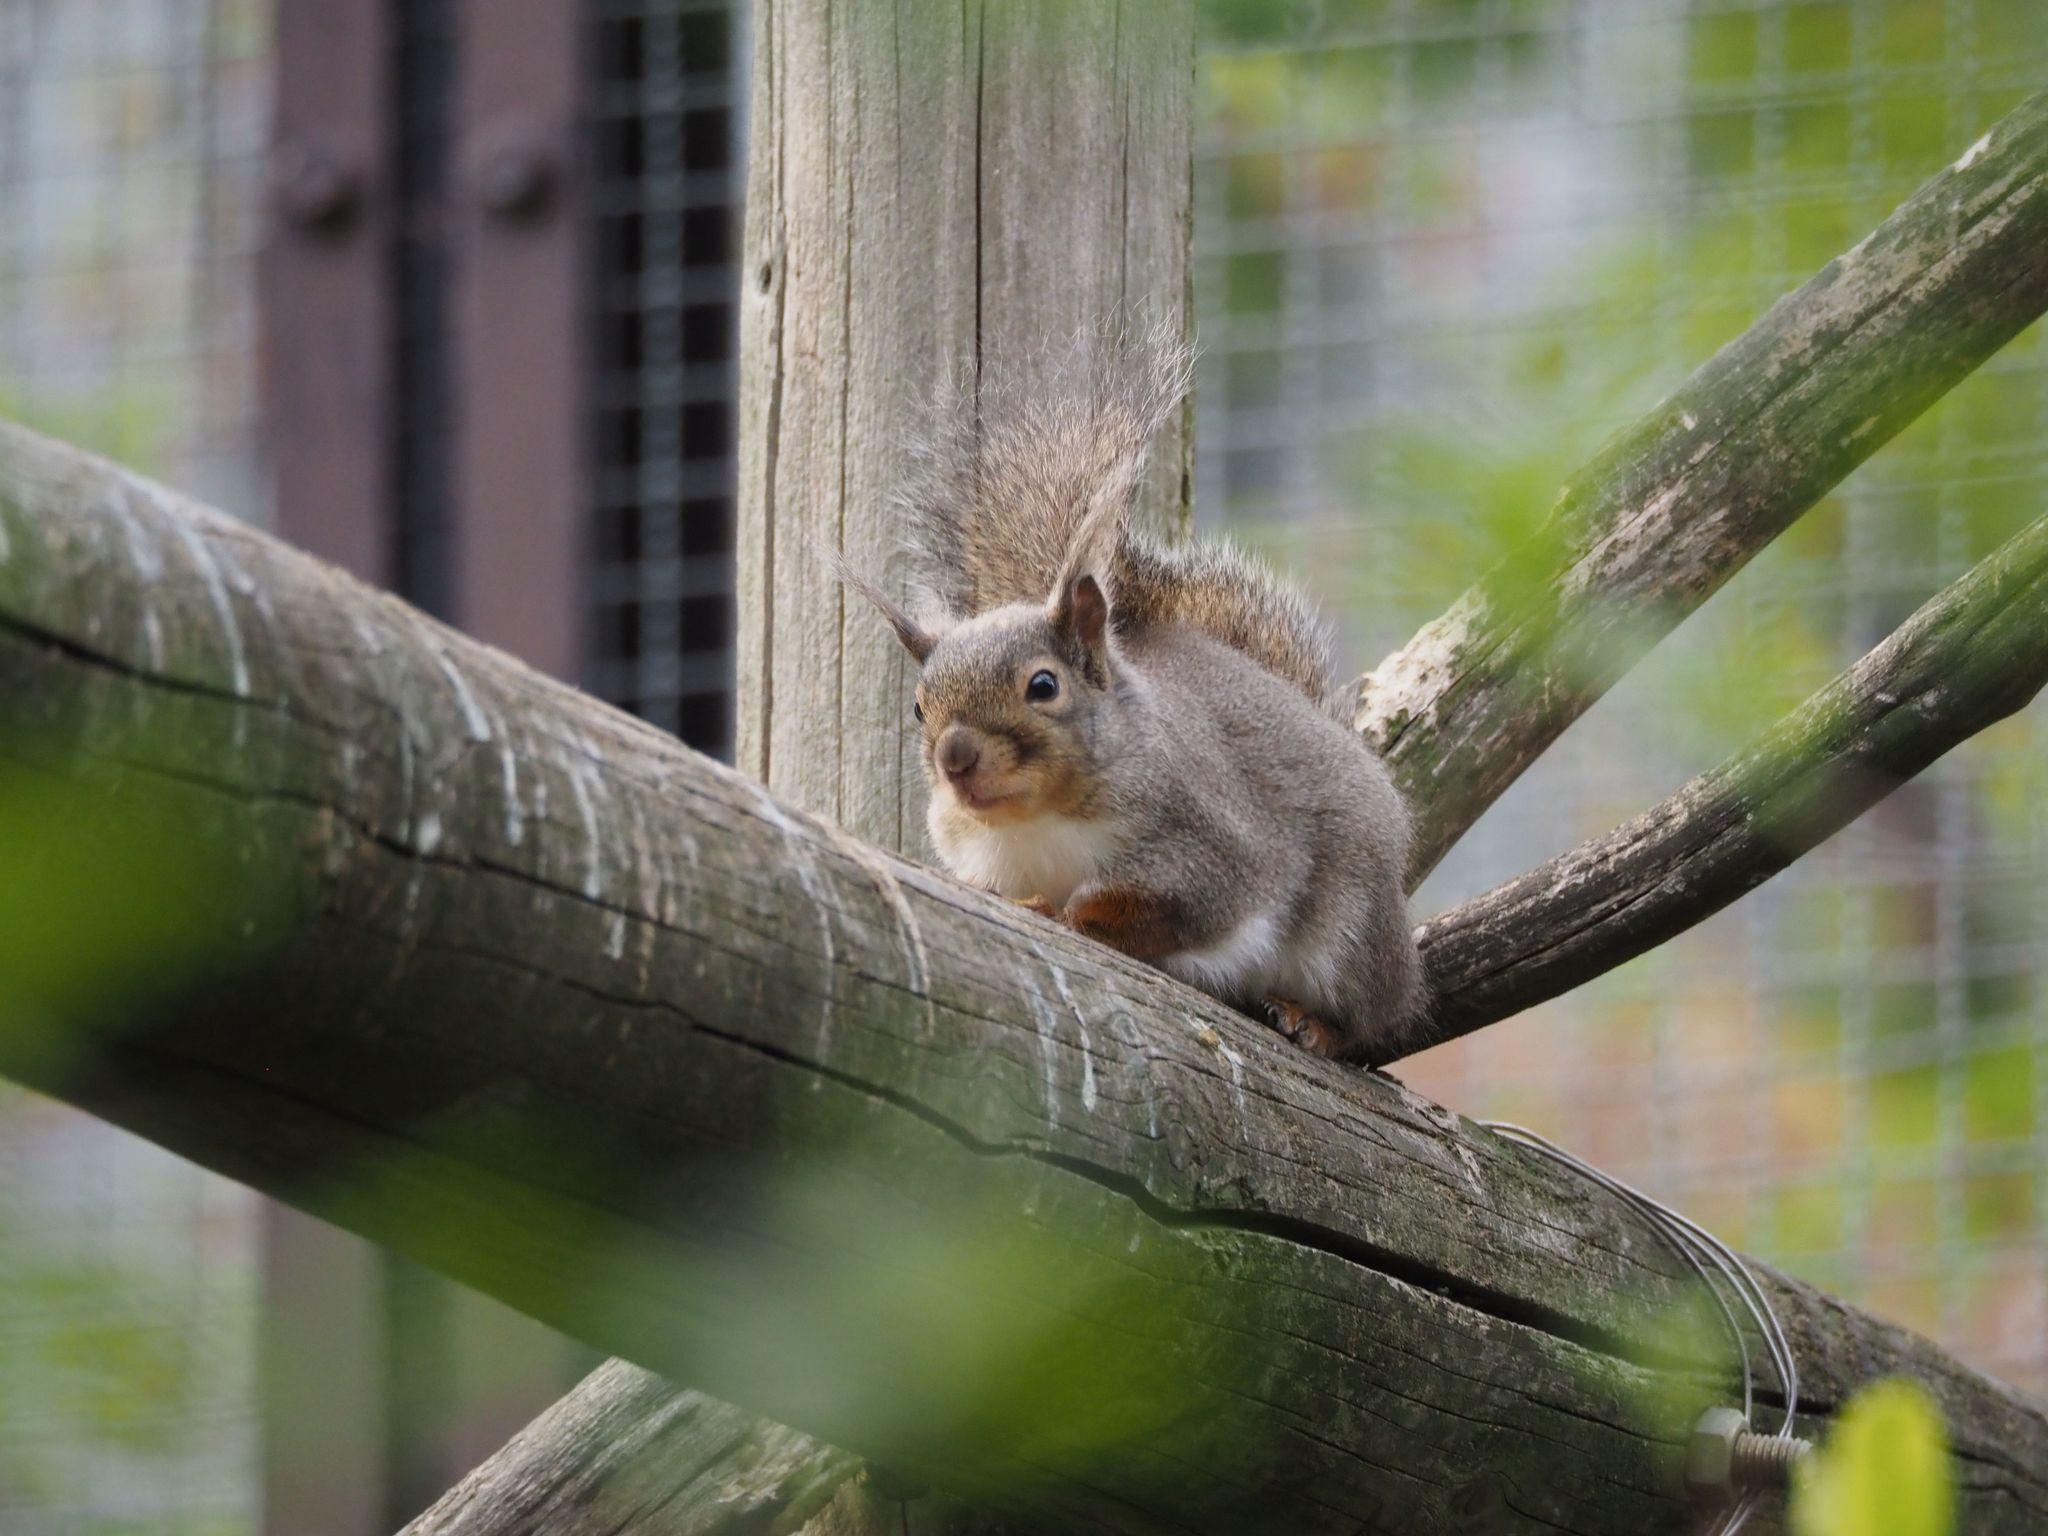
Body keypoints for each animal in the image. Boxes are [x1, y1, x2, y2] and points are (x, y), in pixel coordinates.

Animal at [835, 331, 1425, 1064]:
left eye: (1043, 686)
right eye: (919, 707)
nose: (955, 759)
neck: (1039, 820)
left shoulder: (1216, 853)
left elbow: (1174, 913)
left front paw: (1076, 915)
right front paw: (1032, 904)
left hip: (1352, 937)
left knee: (1371, 1022)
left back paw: (1311, 1020)